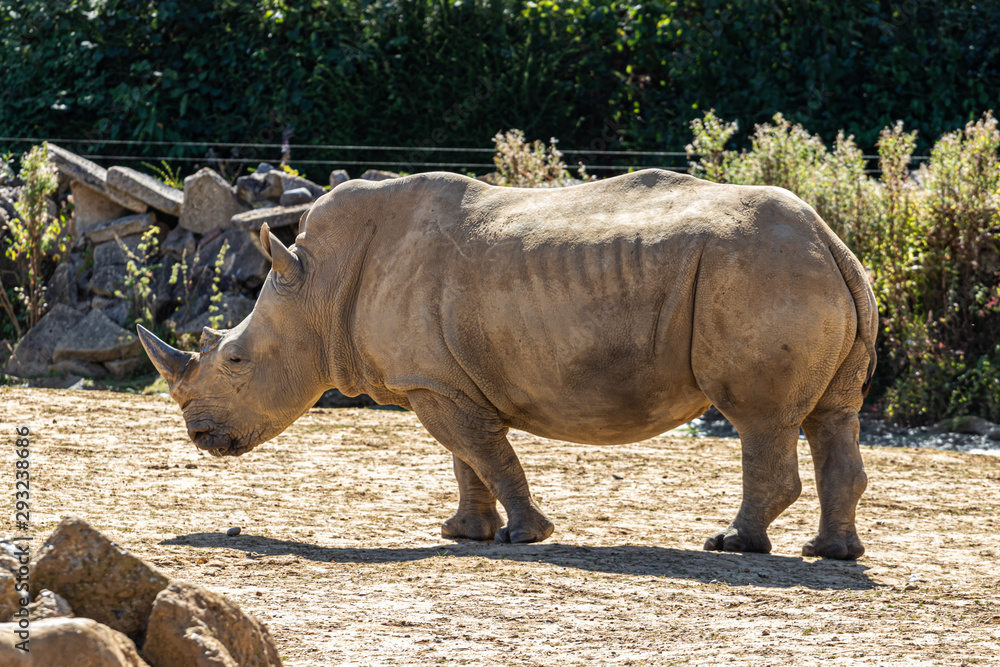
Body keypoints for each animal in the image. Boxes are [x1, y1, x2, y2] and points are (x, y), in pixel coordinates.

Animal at [138, 169, 877, 560]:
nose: (200, 436)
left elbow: (484, 453)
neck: (314, 286)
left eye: (236, 358)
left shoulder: (434, 382)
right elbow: (466, 457)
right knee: (832, 416)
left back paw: (730, 544)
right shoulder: (439, 379)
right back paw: (830, 553)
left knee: (758, 418)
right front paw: (465, 532)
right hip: (798, 271)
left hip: (759, 273)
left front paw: (527, 535)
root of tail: (832, 241)